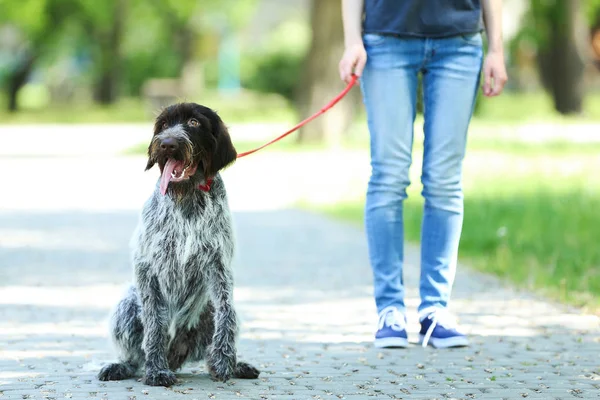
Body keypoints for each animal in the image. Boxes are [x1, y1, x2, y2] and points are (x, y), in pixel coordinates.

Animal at [97, 101, 258, 386]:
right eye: (163, 125)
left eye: (194, 123)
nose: (167, 144)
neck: (187, 196)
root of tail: (177, 357)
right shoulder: (147, 267)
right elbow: (154, 324)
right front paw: (156, 370)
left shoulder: (219, 266)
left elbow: (226, 313)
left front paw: (225, 360)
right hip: (127, 304)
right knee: (134, 356)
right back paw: (122, 366)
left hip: (207, 312)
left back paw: (237, 365)